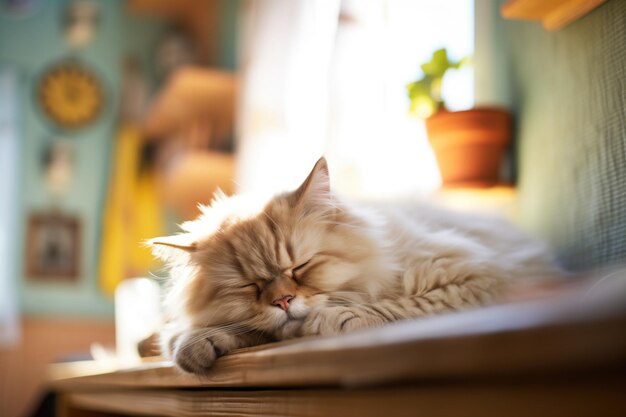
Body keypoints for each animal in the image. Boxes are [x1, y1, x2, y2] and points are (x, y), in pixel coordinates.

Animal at [151, 157, 560, 374]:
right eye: (249, 287)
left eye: (300, 267)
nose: (283, 301)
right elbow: (201, 334)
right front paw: (194, 343)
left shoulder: (474, 274)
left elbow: (399, 306)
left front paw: (332, 320)